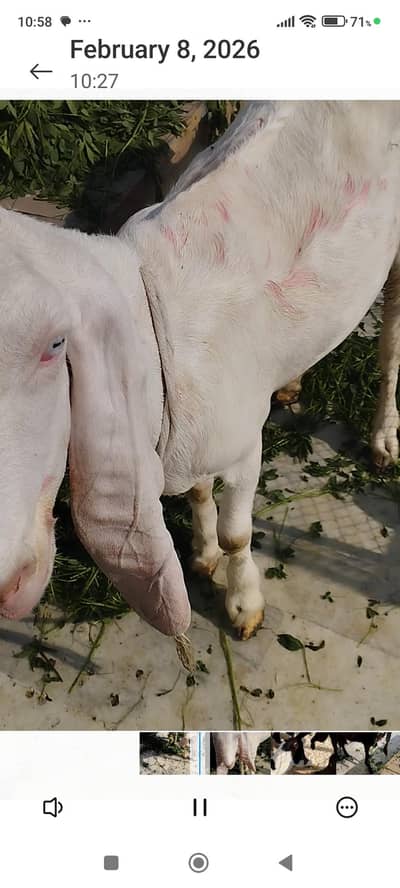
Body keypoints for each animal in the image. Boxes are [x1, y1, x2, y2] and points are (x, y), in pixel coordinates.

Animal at [2, 102, 400, 641]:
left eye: (54, 344)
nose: (8, 582)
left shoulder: (246, 444)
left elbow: (237, 534)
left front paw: (243, 603)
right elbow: (198, 490)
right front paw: (203, 554)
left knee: (392, 336)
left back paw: (383, 437)